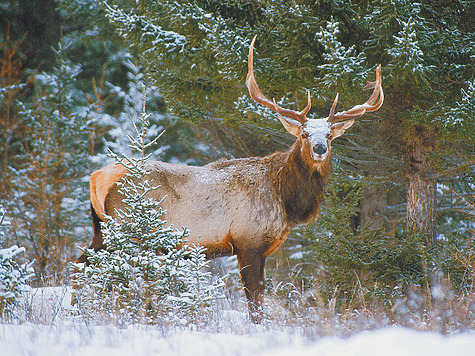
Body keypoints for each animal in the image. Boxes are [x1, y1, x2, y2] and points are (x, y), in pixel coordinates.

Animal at [77, 36, 384, 322]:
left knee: (82, 263)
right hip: (126, 229)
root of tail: (97, 177)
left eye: (330, 135)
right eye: (304, 134)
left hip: (102, 230)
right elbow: (254, 301)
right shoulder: (248, 240)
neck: (284, 199)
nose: (320, 148)